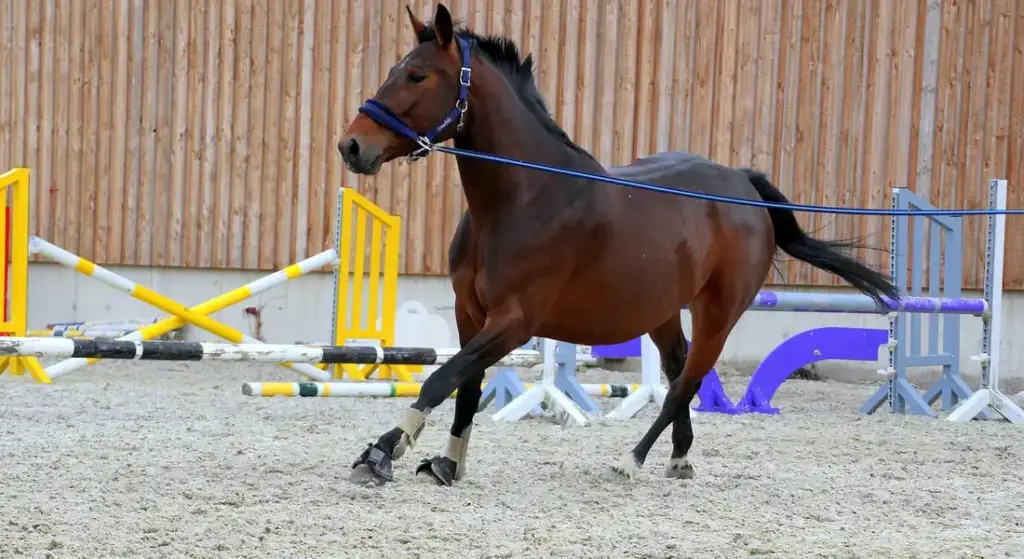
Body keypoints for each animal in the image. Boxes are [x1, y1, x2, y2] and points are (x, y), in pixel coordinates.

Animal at [337, 3, 898, 487]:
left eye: (417, 75)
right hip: (663, 312)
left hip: (719, 314)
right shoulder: (469, 312)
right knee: (678, 369)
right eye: (396, 69)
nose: (351, 146)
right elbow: (466, 388)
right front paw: (447, 465)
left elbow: (442, 378)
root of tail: (741, 185)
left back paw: (633, 459)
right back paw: (679, 457)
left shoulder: (515, 321)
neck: (521, 198)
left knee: (686, 383)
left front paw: (382, 452)